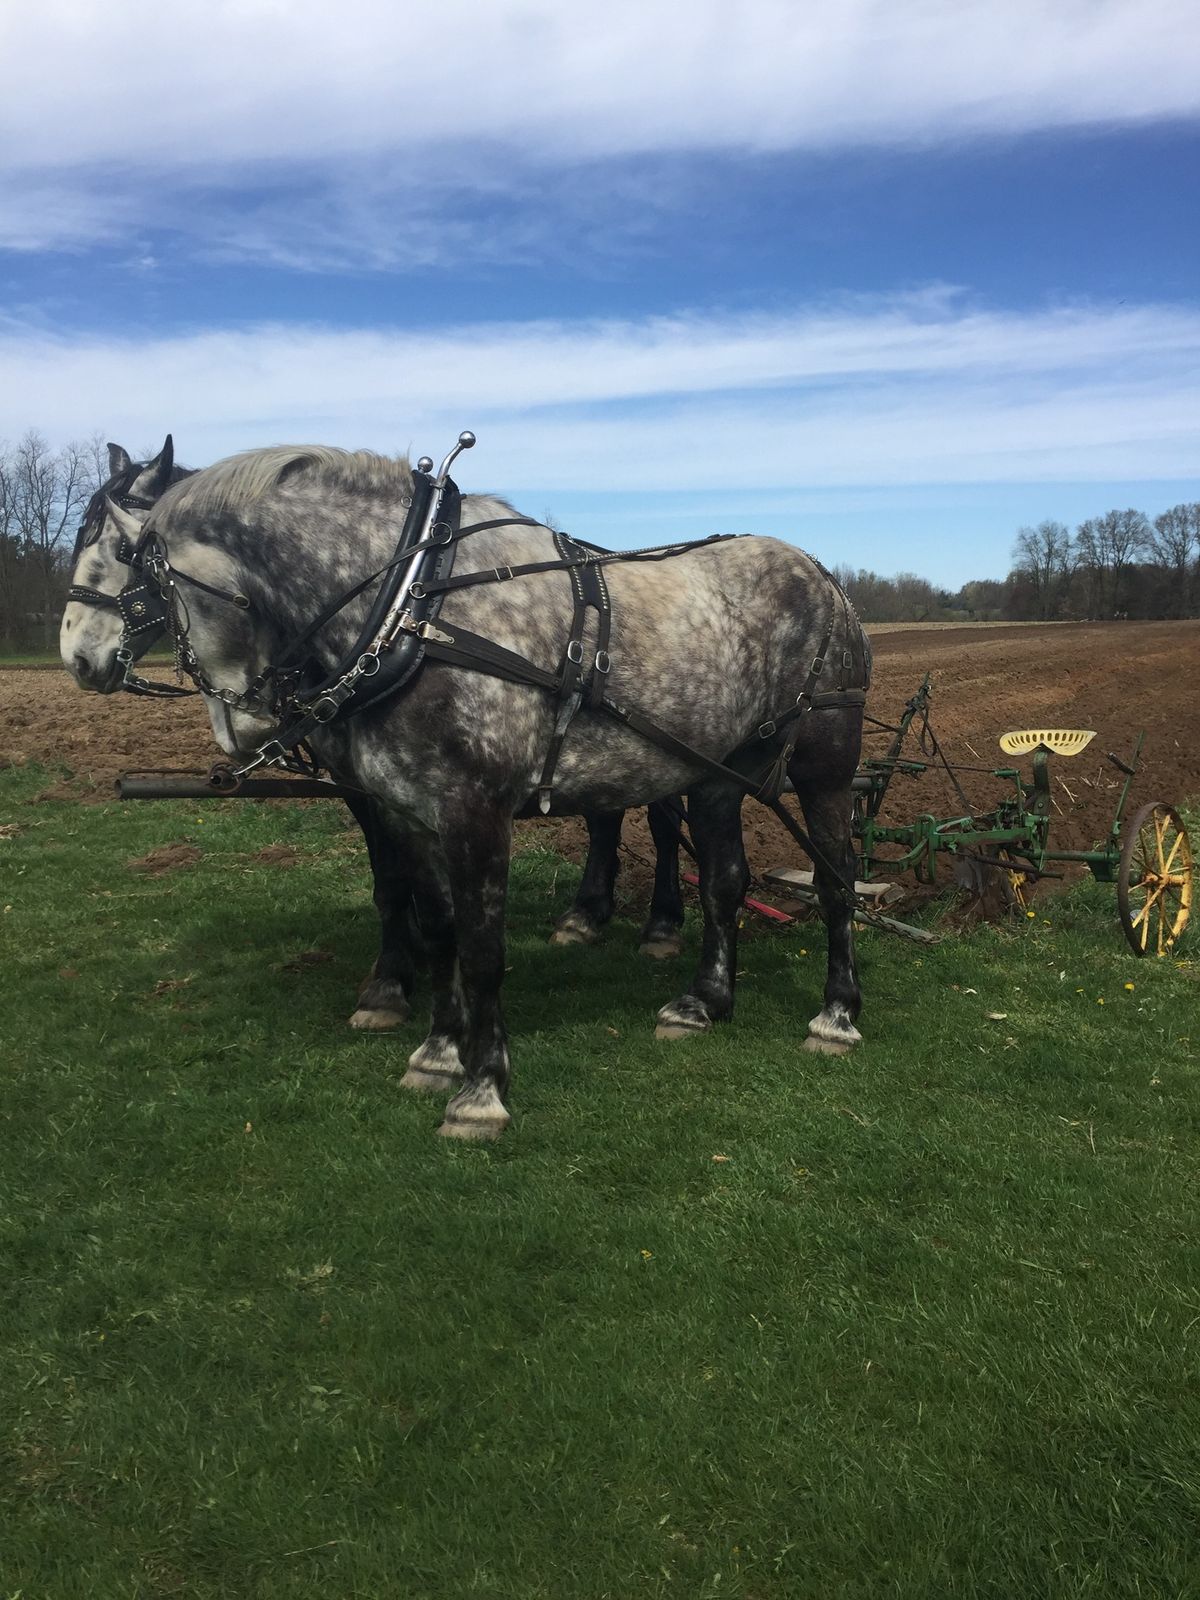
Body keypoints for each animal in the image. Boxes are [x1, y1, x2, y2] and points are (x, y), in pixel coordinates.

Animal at [65, 441, 870, 1139]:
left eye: (121, 556)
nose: (76, 656)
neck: (411, 608)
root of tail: (824, 576)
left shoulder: (475, 811)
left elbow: (483, 949)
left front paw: (482, 1087)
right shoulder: (407, 809)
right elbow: (438, 924)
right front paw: (437, 1050)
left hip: (825, 764)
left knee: (835, 879)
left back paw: (836, 1013)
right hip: (716, 773)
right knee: (725, 880)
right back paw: (705, 1000)